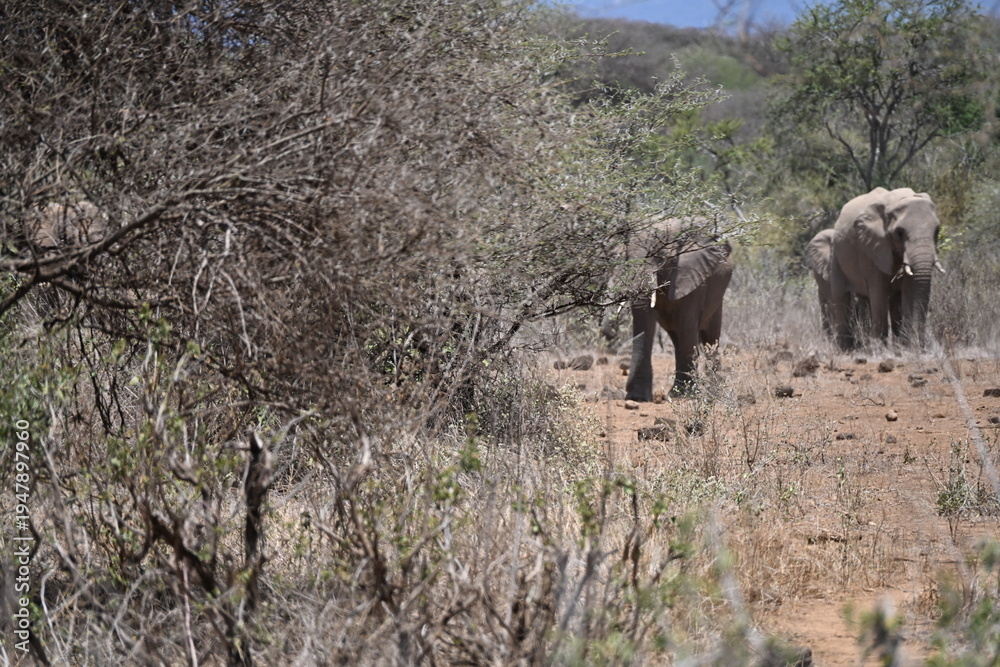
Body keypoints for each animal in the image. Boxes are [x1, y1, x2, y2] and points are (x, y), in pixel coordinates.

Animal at [625, 219, 733, 401]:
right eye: (626, 260)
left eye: (661, 258)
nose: (627, 388)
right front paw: (638, 398)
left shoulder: (693, 279)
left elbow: (687, 326)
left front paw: (684, 396)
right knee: (676, 337)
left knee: (709, 338)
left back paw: (714, 391)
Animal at [823, 187, 943, 350]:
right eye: (899, 233)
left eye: (937, 231)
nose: (921, 346)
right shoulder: (870, 247)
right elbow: (879, 291)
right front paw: (882, 349)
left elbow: (909, 290)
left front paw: (908, 348)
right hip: (836, 253)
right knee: (841, 297)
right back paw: (846, 348)